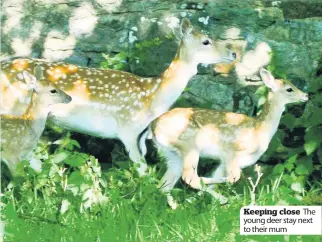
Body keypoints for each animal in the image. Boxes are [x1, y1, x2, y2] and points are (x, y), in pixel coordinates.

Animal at [143, 68, 306, 208]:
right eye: (289, 89)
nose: (305, 95)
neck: (260, 129)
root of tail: (153, 126)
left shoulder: (223, 161)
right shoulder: (232, 153)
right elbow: (233, 177)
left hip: (172, 155)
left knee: (164, 185)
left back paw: (177, 207)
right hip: (189, 146)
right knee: (190, 178)